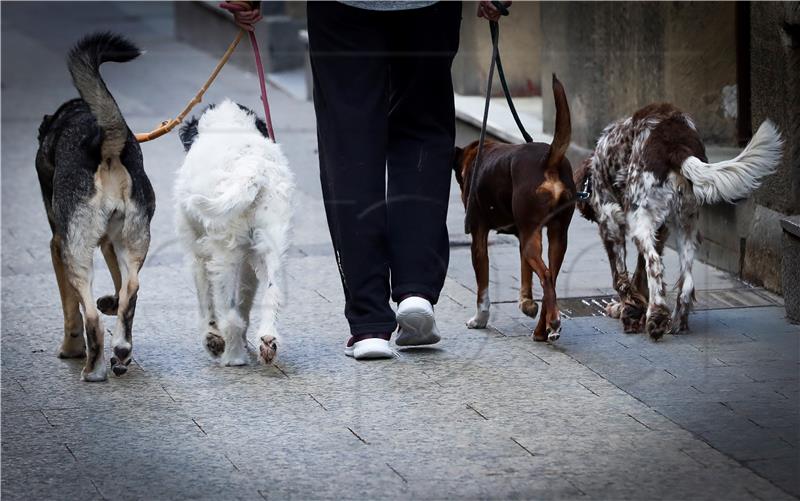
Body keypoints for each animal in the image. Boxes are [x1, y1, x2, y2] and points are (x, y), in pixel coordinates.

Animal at [35, 33, 155, 380]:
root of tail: (104, 146)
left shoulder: (57, 245)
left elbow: (70, 309)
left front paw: (71, 349)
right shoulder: (109, 245)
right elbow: (119, 287)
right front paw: (111, 303)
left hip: (75, 253)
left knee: (89, 316)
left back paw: (92, 367)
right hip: (133, 242)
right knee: (131, 290)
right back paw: (121, 351)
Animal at [175, 99, 294, 366]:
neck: (229, 124)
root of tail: (251, 169)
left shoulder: (198, 254)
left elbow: (206, 301)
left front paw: (212, 338)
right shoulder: (249, 258)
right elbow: (245, 300)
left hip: (224, 255)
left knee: (229, 315)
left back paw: (233, 357)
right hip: (272, 245)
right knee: (272, 293)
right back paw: (267, 340)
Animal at [456, 75, 576, 340]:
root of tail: (548, 160)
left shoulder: (479, 236)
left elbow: (483, 288)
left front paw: (479, 319)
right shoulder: (523, 236)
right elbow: (525, 274)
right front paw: (526, 303)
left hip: (534, 234)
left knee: (547, 275)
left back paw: (552, 323)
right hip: (556, 235)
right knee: (550, 278)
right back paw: (543, 329)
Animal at [576, 104, 780, 340]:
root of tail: (676, 145)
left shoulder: (610, 224)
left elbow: (622, 278)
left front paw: (627, 312)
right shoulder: (661, 230)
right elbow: (638, 276)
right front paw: (633, 309)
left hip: (640, 222)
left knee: (655, 265)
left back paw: (656, 318)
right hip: (686, 224)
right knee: (687, 282)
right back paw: (676, 323)